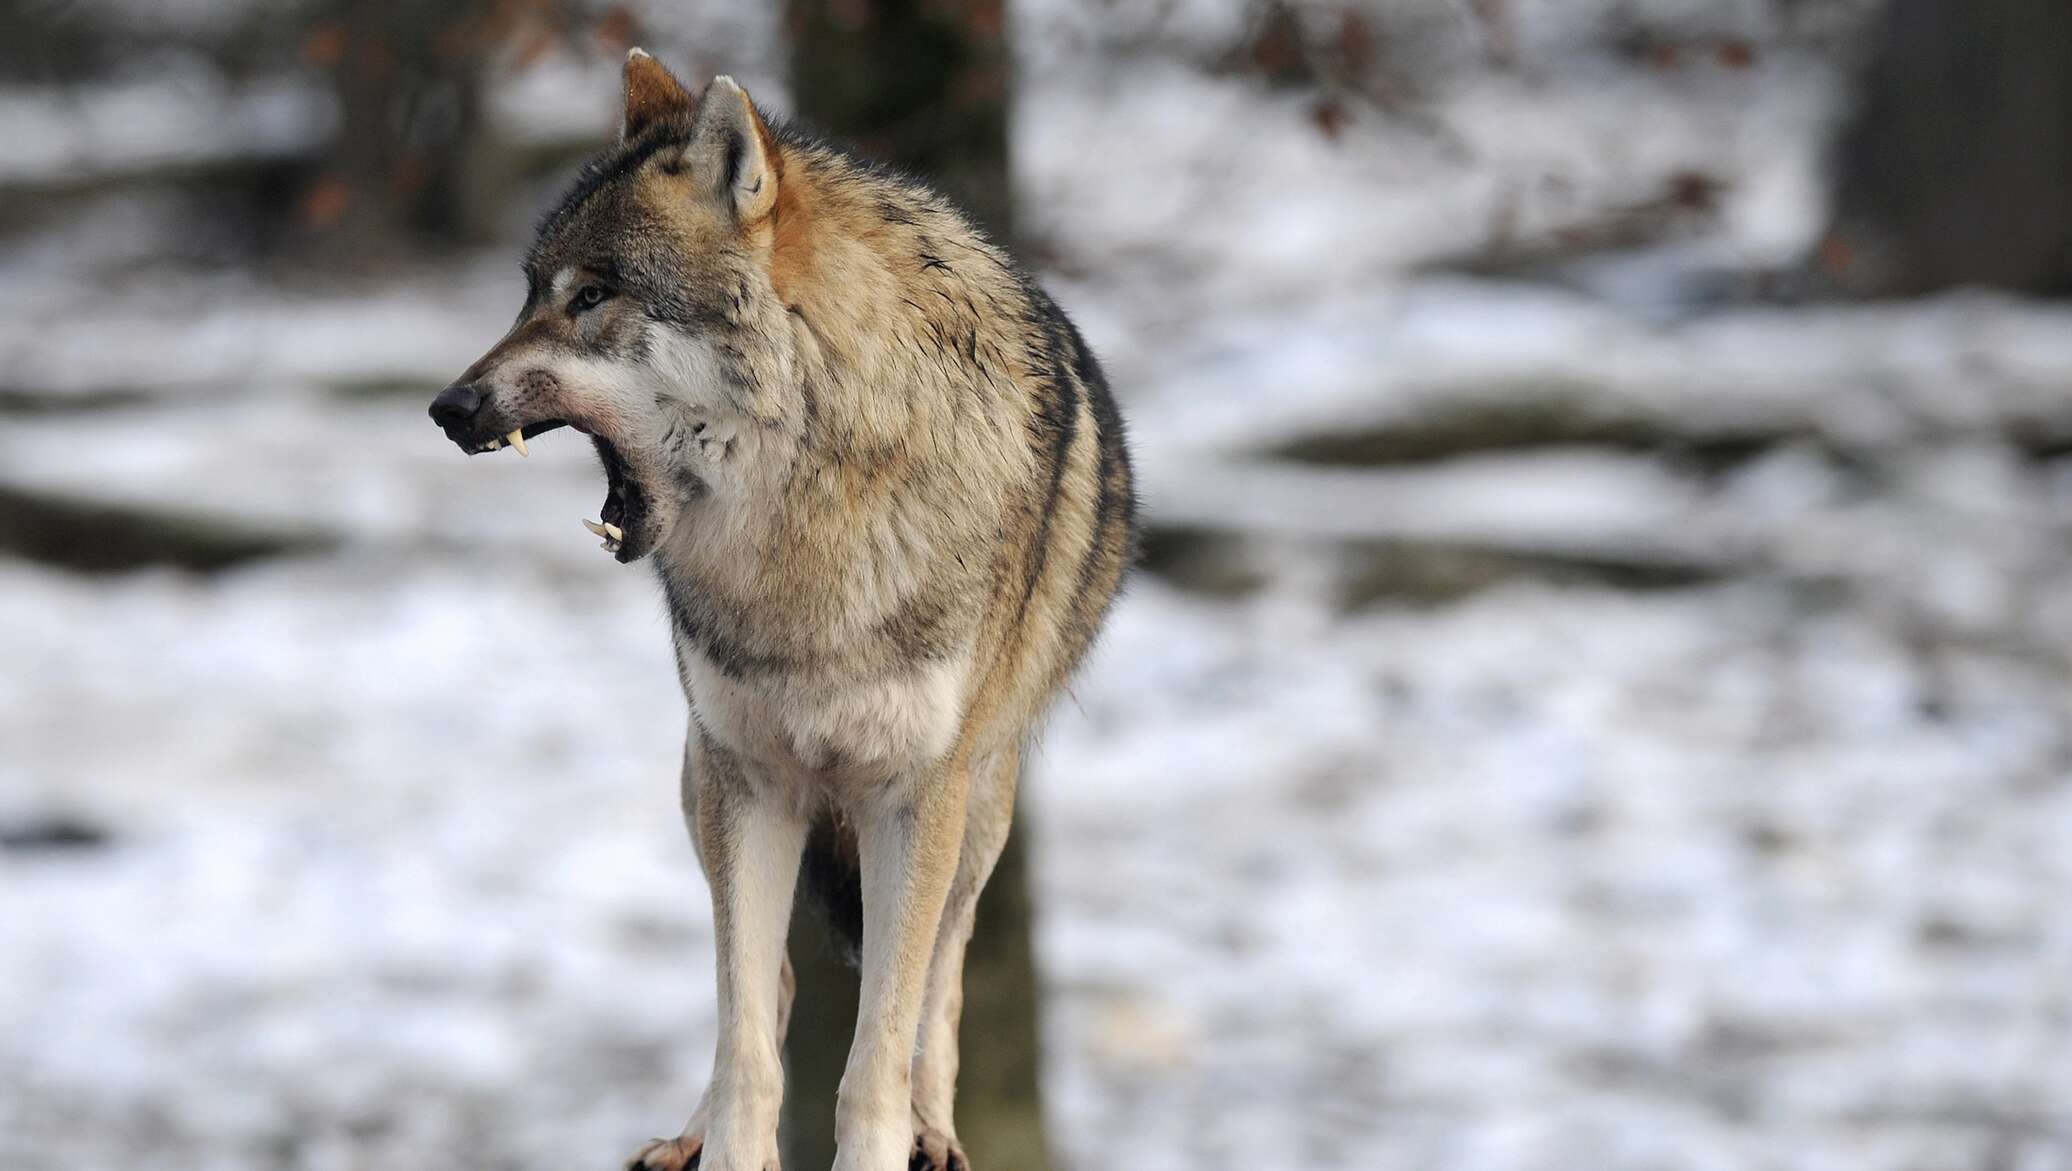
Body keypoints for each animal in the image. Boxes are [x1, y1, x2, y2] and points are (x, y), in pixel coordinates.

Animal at [422, 50, 1135, 1168]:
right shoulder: (748, 781)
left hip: (980, 811)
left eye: (593, 296)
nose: (448, 408)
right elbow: (747, 1044)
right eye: (531, 294)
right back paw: (683, 1137)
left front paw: (889, 1136)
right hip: (702, 782)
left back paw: (938, 1130)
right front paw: (727, 1146)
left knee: (942, 981)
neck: (809, 535)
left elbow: (876, 1054)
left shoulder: (913, 795)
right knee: (775, 986)